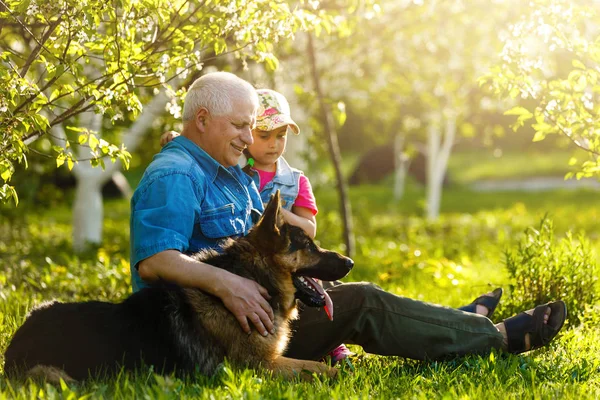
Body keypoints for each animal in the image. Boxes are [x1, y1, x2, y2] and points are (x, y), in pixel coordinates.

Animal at [4, 192, 354, 382]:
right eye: (309, 246)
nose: (350, 262)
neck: (256, 276)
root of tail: (13, 352)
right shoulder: (258, 366)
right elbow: (317, 367)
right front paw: (346, 374)